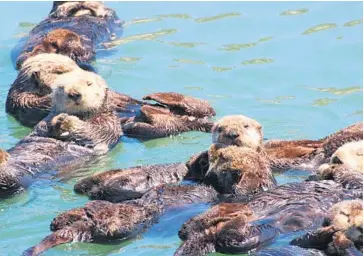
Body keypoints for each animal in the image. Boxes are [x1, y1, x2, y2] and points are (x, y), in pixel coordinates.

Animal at [0, 68, 122, 196]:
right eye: (62, 87)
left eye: (89, 84)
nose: (74, 94)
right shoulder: (46, 119)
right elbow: (42, 127)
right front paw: (57, 120)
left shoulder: (108, 124)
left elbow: (94, 133)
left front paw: (66, 120)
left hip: (21, 178)